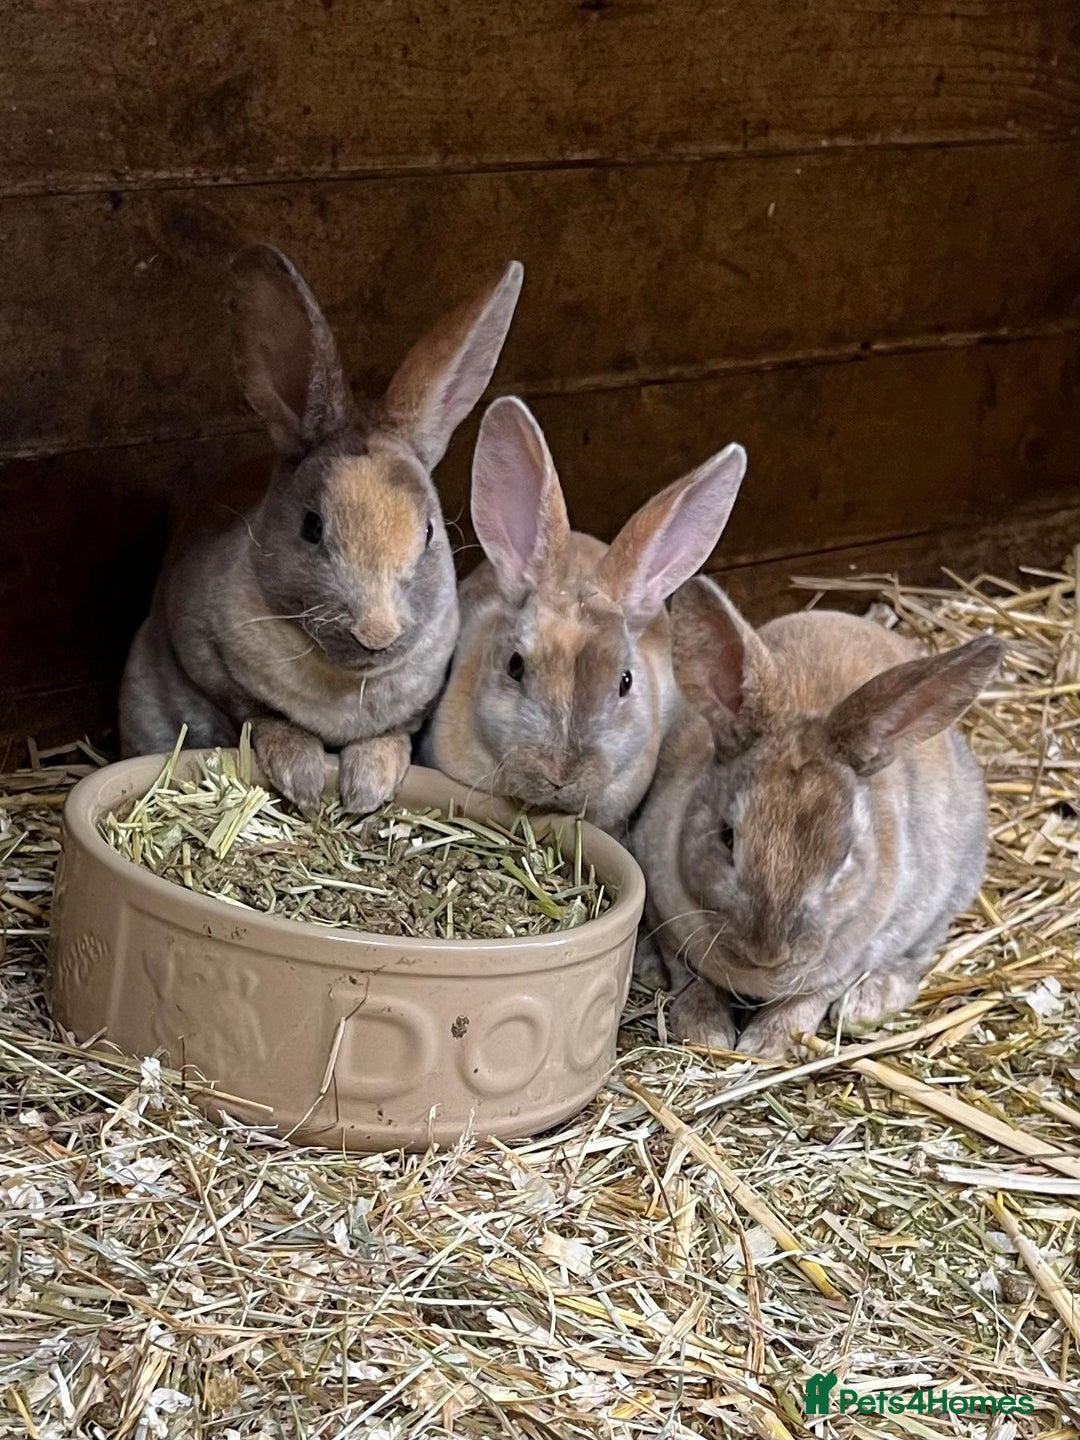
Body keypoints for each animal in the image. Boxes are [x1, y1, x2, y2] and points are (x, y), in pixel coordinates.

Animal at [119, 244, 523, 812]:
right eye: (312, 527)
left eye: (427, 533)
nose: (376, 632)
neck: (347, 679)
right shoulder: (210, 659)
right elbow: (264, 718)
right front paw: (305, 780)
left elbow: (391, 735)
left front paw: (368, 785)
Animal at [632, 575, 1004, 1056]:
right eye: (727, 837)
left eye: (842, 858)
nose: (767, 953)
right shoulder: (665, 915)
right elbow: (689, 974)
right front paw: (705, 1029)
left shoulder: (850, 959)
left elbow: (807, 1000)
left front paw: (764, 1045)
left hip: (946, 894)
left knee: (916, 958)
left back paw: (866, 1005)